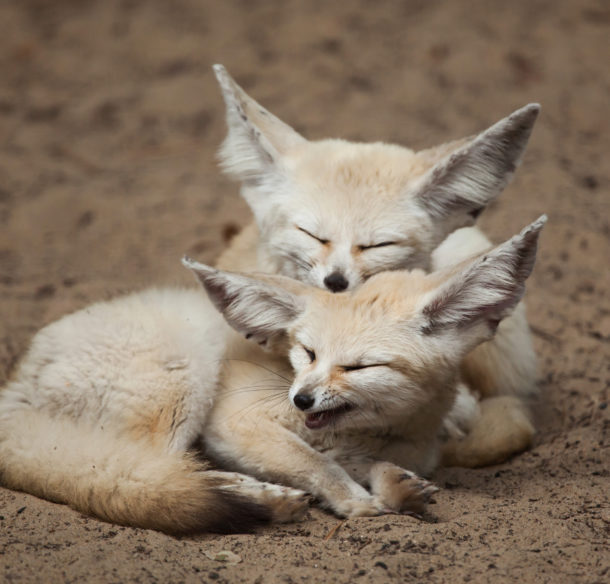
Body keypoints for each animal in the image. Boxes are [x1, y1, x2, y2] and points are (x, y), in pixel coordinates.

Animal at [0, 217, 540, 532]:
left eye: (360, 366)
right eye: (307, 352)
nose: (300, 399)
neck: (379, 432)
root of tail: (16, 381)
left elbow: (369, 466)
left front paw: (396, 489)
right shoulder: (236, 423)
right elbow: (316, 464)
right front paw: (356, 502)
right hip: (187, 375)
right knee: (149, 471)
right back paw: (259, 499)